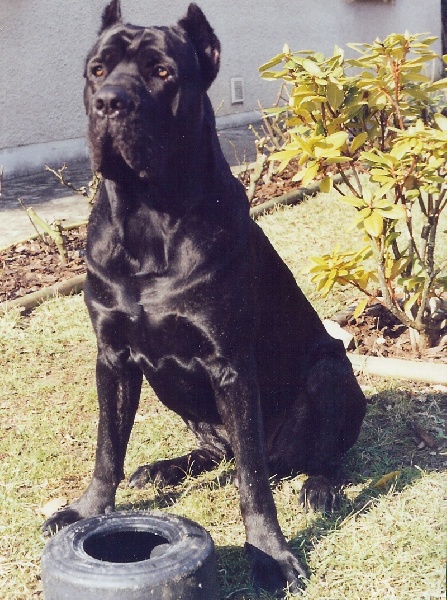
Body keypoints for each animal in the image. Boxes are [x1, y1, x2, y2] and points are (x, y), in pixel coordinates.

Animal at [44, 2, 368, 596]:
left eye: (162, 72)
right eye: (97, 70)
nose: (110, 102)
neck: (148, 217)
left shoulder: (230, 364)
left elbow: (253, 485)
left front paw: (270, 554)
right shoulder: (113, 358)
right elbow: (107, 447)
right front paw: (86, 511)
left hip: (331, 371)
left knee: (307, 453)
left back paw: (320, 485)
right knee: (218, 451)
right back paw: (166, 467)